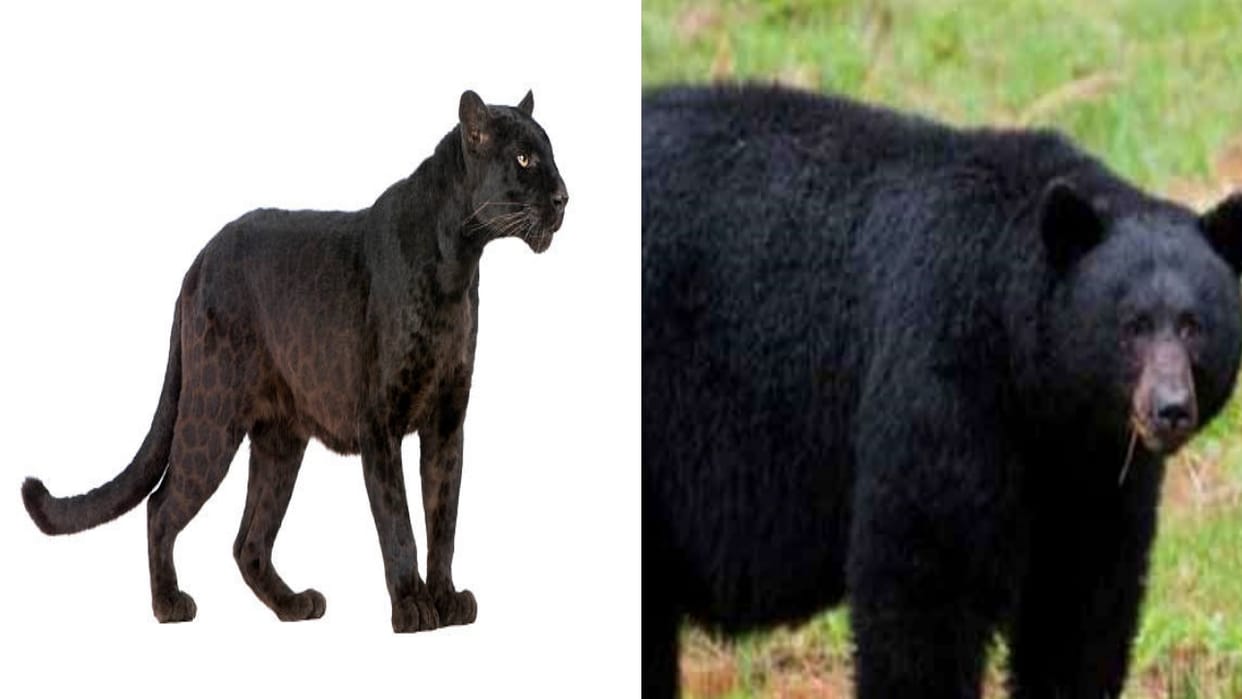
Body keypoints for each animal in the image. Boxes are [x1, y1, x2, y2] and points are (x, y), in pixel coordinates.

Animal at [642, 84, 1242, 698]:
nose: (1169, 409)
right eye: (1133, 325)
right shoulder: (945, 367)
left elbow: (1081, 596)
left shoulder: (1087, 467)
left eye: (1193, 325)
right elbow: (926, 577)